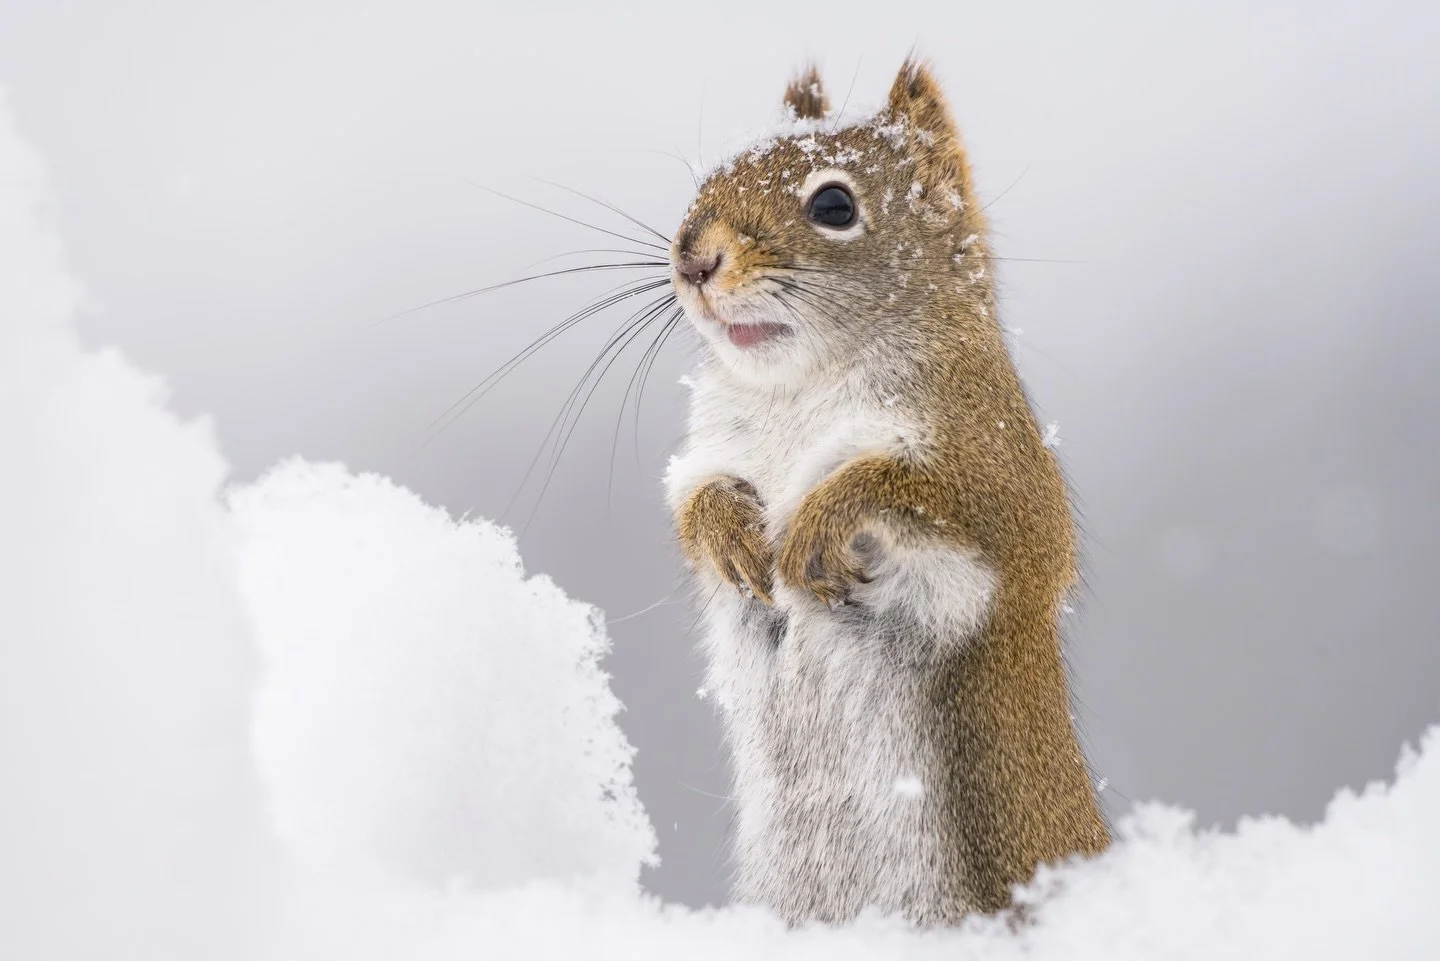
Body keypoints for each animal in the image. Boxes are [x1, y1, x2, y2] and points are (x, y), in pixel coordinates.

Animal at [663, 59, 1109, 926]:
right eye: (711, 177)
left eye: (834, 205)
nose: (694, 261)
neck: (798, 386)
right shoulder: (717, 444)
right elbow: (694, 496)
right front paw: (727, 529)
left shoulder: (996, 465)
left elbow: (932, 497)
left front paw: (820, 519)